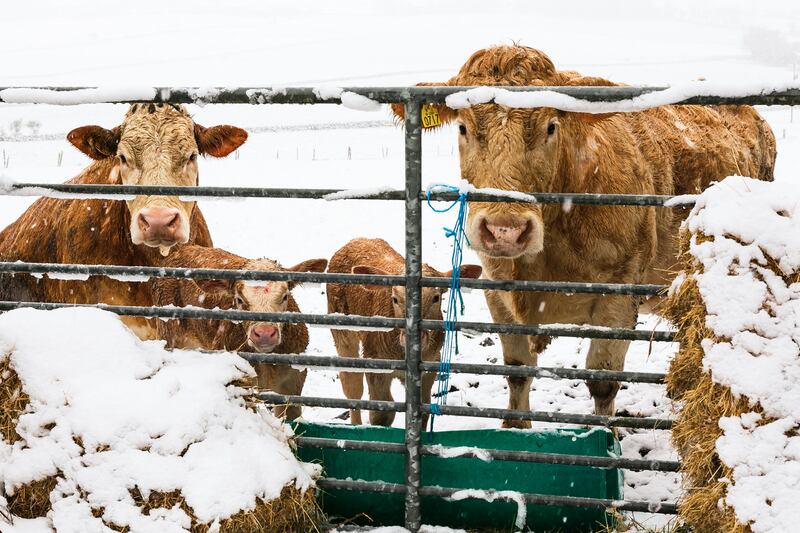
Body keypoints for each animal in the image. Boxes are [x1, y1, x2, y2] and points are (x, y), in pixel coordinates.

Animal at [326, 237, 482, 424]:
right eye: (395, 299)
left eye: (436, 297)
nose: (414, 337)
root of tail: (356, 240)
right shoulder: (375, 364)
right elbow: (381, 414)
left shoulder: (431, 364)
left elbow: (423, 409)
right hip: (342, 331)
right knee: (352, 385)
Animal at [390, 44, 780, 424]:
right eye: (463, 128)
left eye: (550, 126)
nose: (506, 229)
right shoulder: (496, 291)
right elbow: (517, 372)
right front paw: (514, 428)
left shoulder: (619, 298)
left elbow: (603, 382)